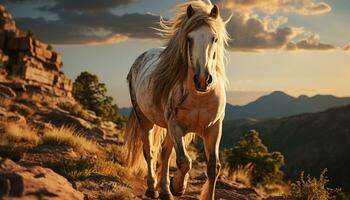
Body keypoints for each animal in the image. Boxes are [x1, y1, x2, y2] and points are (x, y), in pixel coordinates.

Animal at [124, 0, 228, 199]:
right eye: (189, 38)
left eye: (214, 38)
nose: (203, 80)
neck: (199, 96)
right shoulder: (176, 126)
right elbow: (184, 161)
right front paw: (178, 186)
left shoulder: (214, 127)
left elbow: (213, 168)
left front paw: (176, 185)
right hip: (145, 121)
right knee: (150, 153)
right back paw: (153, 188)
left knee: (164, 154)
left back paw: (165, 191)